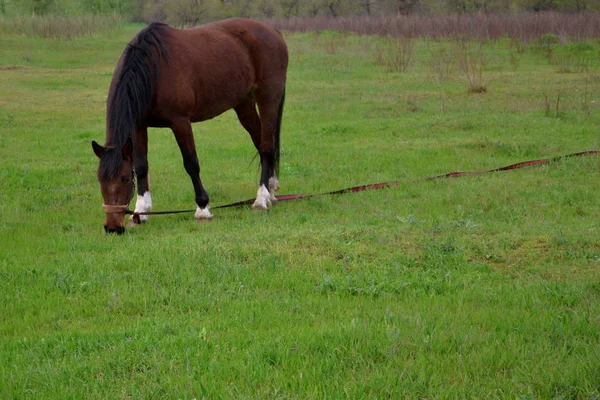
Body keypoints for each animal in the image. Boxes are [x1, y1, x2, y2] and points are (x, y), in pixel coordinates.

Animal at [91, 19, 288, 234]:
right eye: (100, 179)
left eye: (125, 178)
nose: (112, 227)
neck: (154, 70)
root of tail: (273, 31)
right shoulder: (138, 126)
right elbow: (142, 166)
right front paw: (141, 212)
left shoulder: (180, 122)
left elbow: (191, 163)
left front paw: (203, 208)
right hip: (244, 104)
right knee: (261, 144)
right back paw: (271, 190)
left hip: (268, 97)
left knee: (267, 146)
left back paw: (261, 198)